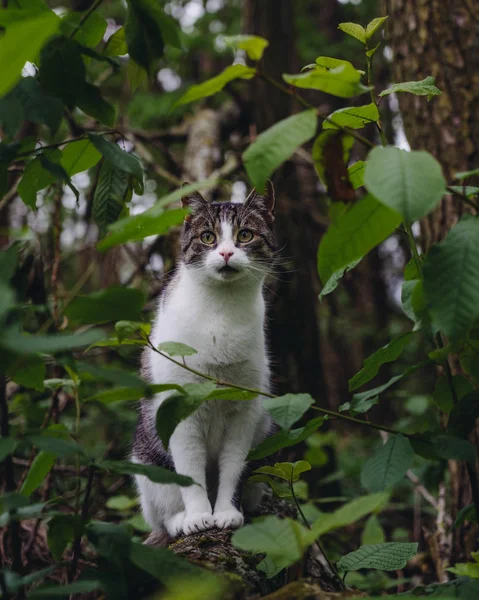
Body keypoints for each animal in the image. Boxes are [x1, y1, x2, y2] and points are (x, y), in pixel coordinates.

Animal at [133, 182, 278, 540]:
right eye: (208, 237)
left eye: (245, 235)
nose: (225, 253)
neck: (222, 312)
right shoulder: (178, 407)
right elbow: (189, 470)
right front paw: (199, 516)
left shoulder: (245, 410)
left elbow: (233, 468)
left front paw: (225, 512)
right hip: (146, 460)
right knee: (162, 514)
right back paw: (180, 520)